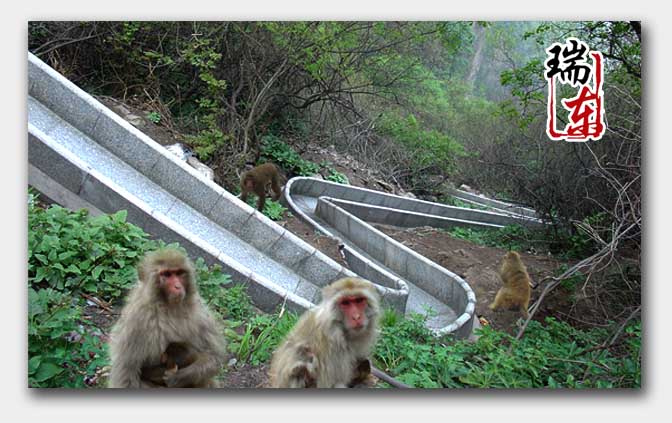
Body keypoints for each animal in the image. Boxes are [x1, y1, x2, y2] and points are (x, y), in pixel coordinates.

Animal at [109, 248, 226, 388]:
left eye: (179, 273)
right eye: (167, 274)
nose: (177, 286)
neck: (168, 306)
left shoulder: (200, 312)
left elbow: (214, 356)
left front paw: (179, 377)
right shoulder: (136, 320)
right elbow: (126, 373)